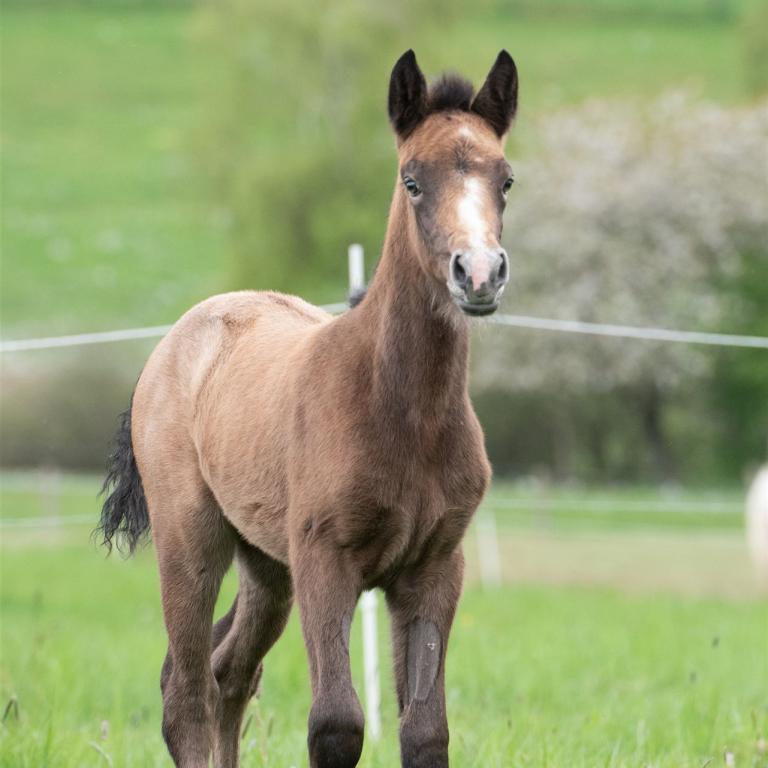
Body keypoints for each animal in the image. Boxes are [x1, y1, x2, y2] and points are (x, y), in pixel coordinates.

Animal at [99, 49, 518, 768]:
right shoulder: (327, 559)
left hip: (267, 565)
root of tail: (176, 340)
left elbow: (425, 730)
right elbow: (336, 723)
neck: (400, 411)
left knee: (230, 673)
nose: (480, 273)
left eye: (506, 180)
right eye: (411, 180)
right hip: (190, 539)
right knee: (186, 691)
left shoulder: (435, 567)